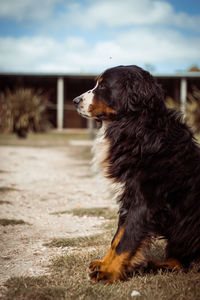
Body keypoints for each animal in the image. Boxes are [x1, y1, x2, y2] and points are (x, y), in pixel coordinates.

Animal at [73, 64, 200, 282]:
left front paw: (108, 272)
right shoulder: (128, 198)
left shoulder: (144, 203)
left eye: (103, 86)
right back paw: (147, 266)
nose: (75, 101)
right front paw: (104, 264)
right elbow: (117, 238)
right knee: (179, 263)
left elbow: (126, 240)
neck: (135, 128)